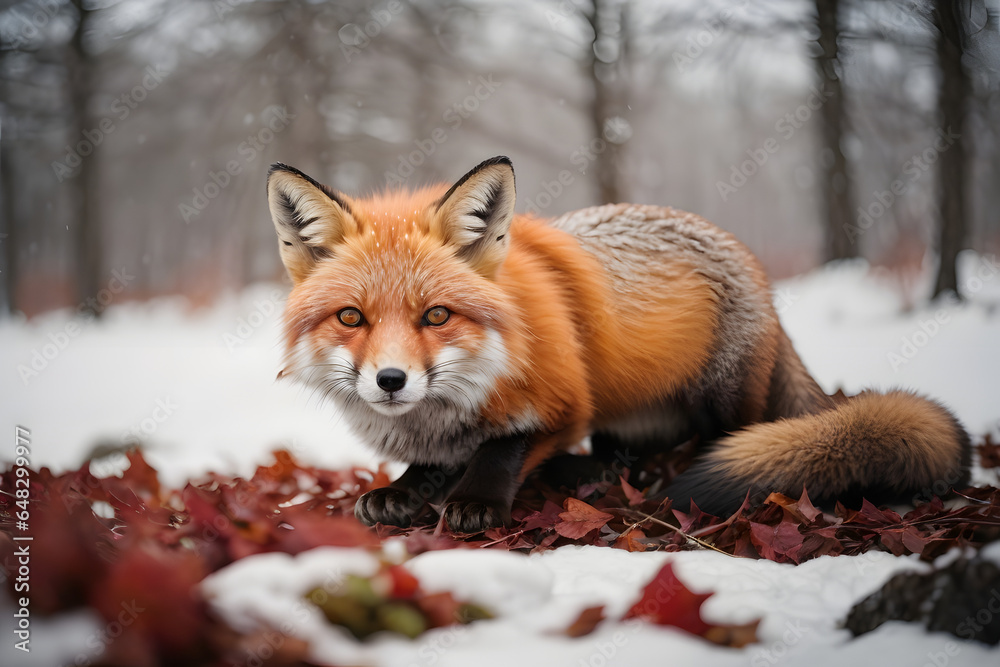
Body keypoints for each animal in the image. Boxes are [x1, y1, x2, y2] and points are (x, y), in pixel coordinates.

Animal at [266, 156, 971, 533]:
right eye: (351, 317)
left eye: (436, 315)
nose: (390, 381)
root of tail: (753, 267)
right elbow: (434, 462)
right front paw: (407, 487)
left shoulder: (564, 405)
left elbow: (500, 447)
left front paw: (474, 498)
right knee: (626, 454)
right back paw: (599, 471)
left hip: (721, 395)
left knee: (723, 440)